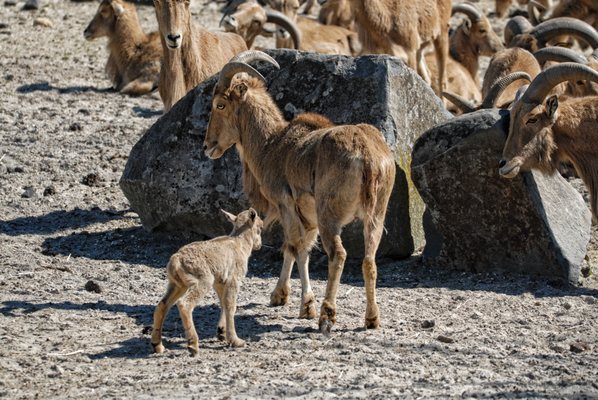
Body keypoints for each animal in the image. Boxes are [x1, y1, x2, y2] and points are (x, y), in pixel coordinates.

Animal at [152, 208, 262, 354]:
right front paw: (236, 341)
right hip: (203, 281)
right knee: (184, 304)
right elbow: (231, 305)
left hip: (177, 284)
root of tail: (176, 261)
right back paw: (193, 345)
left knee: (162, 305)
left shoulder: (220, 282)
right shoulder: (233, 279)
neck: (241, 244)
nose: (259, 245)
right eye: (260, 228)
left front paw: (221, 333)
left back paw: (157, 345)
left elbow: (223, 303)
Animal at [205, 50, 398, 334]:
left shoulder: (287, 207)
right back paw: (372, 318)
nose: (207, 146)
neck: (272, 145)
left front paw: (306, 306)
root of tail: (367, 157)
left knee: (338, 255)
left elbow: (297, 248)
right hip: (376, 215)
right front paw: (279, 296)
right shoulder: (309, 218)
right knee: (369, 259)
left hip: (330, 215)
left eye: (220, 105)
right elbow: (293, 247)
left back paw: (327, 316)